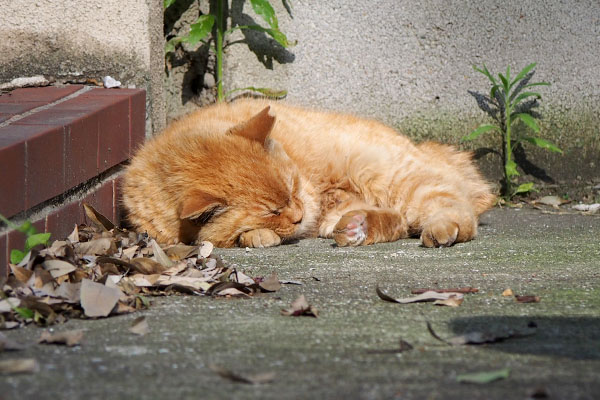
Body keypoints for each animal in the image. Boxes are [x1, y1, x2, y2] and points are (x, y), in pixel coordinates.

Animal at [123, 99, 496, 247]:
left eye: (292, 188)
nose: (299, 215)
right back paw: (356, 228)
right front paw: (257, 236)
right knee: (398, 222)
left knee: (454, 210)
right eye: (273, 211)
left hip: (396, 179)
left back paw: (441, 230)